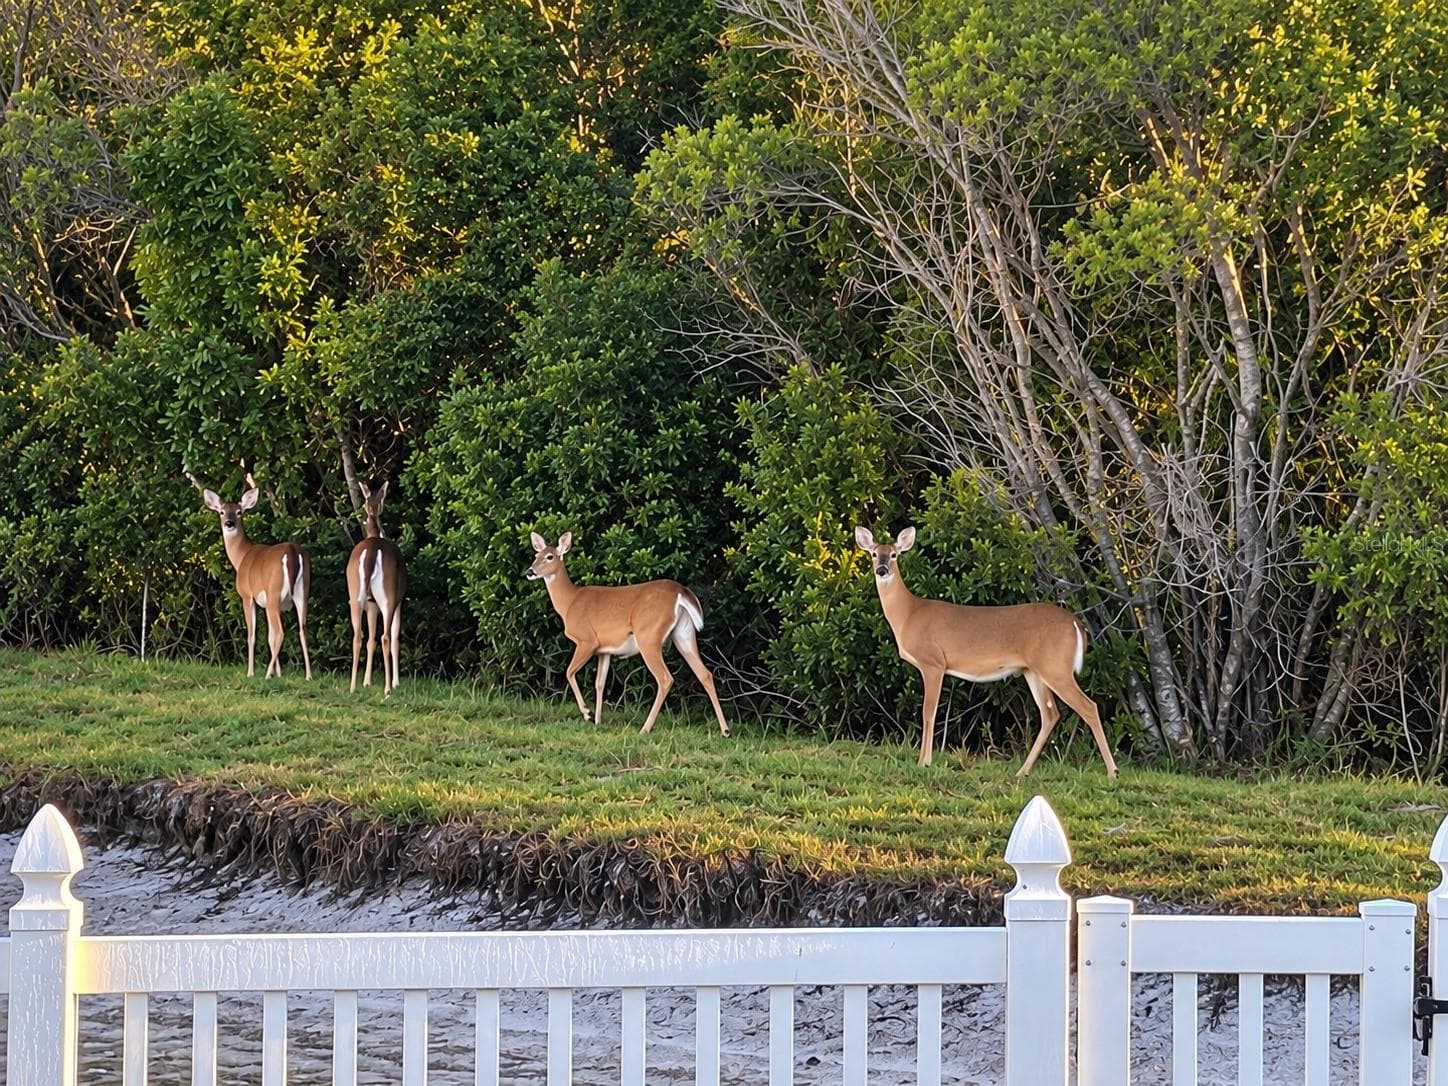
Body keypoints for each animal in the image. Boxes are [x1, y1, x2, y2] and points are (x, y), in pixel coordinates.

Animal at [188, 472, 312, 680]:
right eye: (222, 512)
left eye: (239, 512)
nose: (229, 523)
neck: (242, 558)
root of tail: (293, 553)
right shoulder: (265, 602)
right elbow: (268, 637)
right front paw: (279, 673)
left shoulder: (247, 595)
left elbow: (253, 635)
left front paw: (251, 672)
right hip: (302, 592)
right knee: (302, 631)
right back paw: (308, 675)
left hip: (274, 591)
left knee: (281, 632)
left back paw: (266, 674)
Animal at [347, 480, 407, 695]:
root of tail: (371, 554)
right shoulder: (400, 601)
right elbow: (396, 638)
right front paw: (396, 682)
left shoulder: (371, 605)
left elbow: (370, 640)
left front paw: (366, 682)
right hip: (388, 596)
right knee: (386, 637)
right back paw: (387, 689)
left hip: (355, 593)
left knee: (358, 636)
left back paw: (352, 686)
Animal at [526, 532, 729, 737]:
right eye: (535, 556)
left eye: (549, 556)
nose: (530, 571)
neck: (569, 603)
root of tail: (681, 592)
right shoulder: (604, 650)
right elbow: (600, 683)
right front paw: (597, 720)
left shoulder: (587, 640)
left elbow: (569, 672)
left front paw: (587, 713)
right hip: (683, 634)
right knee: (705, 674)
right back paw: (725, 730)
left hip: (648, 634)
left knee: (665, 678)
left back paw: (645, 728)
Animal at [855, 526, 1118, 778]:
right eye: (874, 554)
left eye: (894, 554)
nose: (882, 570)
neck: (908, 614)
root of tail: (1077, 624)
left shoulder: (933, 662)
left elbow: (928, 711)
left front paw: (924, 762)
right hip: (1033, 670)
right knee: (1050, 714)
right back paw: (1022, 771)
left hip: (1056, 667)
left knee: (1088, 706)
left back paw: (1112, 772)